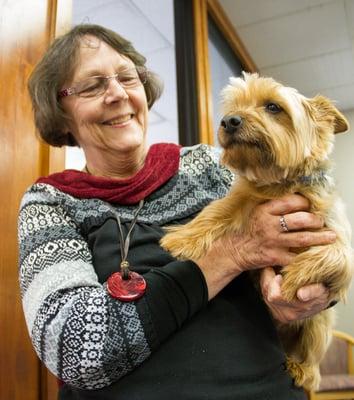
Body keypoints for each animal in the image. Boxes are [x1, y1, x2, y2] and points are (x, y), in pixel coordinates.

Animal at [161, 72, 354, 390]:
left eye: (273, 107)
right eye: (234, 107)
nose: (229, 121)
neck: (281, 184)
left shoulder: (338, 239)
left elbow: (333, 255)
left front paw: (293, 279)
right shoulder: (242, 200)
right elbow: (216, 209)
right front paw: (183, 237)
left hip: (319, 324)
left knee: (314, 364)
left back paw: (302, 369)